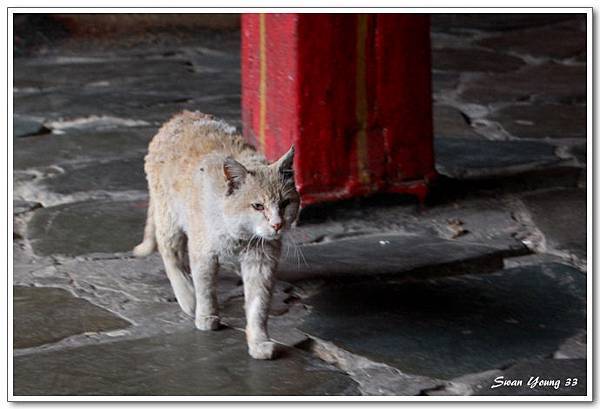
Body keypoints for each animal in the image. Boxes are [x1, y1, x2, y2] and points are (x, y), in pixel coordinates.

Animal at [132, 111, 298, 356]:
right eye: (258, 206)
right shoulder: (203, 251)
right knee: (171, 256)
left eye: (285, 203)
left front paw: (258, 341)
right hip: (169, 218)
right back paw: (187, 297)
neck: (240, 234)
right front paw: (206, 316)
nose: (277, 224)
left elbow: (258, 303)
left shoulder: (261, 260)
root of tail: (178, 117)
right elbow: (206, 286)